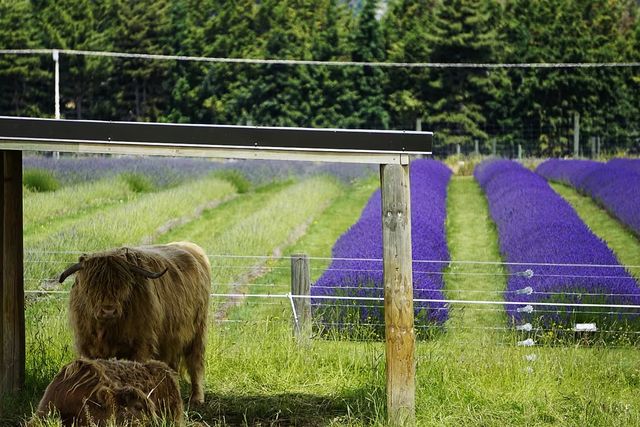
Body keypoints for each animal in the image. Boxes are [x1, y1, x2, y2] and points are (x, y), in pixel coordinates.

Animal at [59, 242, 210, 402]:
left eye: (123, 285)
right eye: (90, 287)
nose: (108, 310)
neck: (106, 330)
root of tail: (190, 246)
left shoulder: (141, 345)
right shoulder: (87, 346)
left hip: (198, 331)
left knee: (195, 362)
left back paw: (197, 397)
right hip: (171, 338)